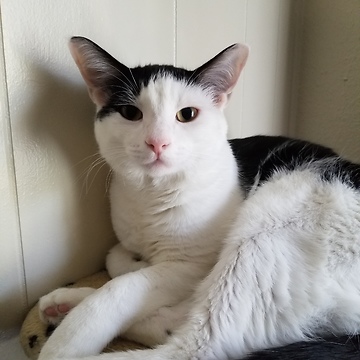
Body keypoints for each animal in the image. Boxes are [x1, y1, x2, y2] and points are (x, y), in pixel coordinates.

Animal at [37, 37, 360, 360]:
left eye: (187, 115)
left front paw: (69, 337)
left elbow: (123, 286)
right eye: (130, 113)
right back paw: (64, 303)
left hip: (267, 230)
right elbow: (116, 258)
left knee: (196, 345)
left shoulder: (193, 265)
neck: (151, 194)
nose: (157, 142)